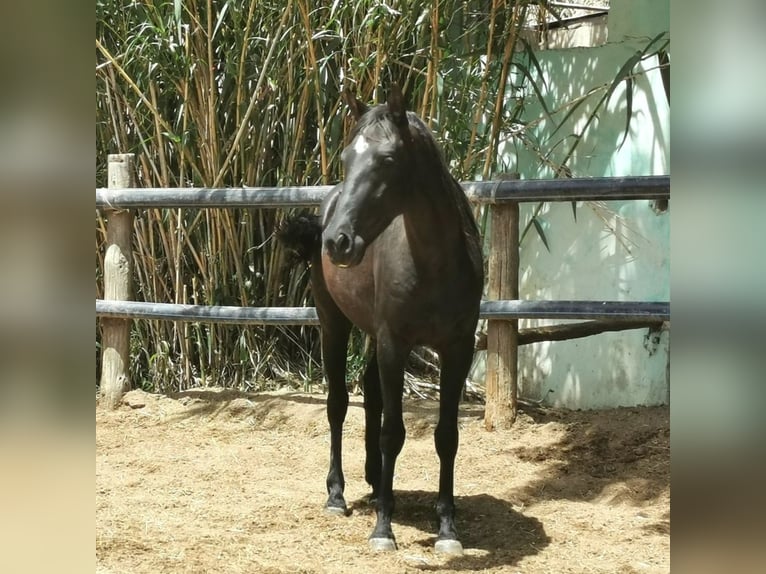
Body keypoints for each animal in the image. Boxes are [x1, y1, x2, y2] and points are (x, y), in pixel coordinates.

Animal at [282, 84, 484, 552]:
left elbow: (447, 435)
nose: (338, 242)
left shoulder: (458, 348)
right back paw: (338, 495)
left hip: (373, 334)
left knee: (371, 393)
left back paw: (376, 483)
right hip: (334, 324)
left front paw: (447, 528)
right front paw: (383, 529)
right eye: (345, 158)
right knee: (339, 403)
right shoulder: (396, 342)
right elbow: (394, 431)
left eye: (388, 160)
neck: (435, 266)